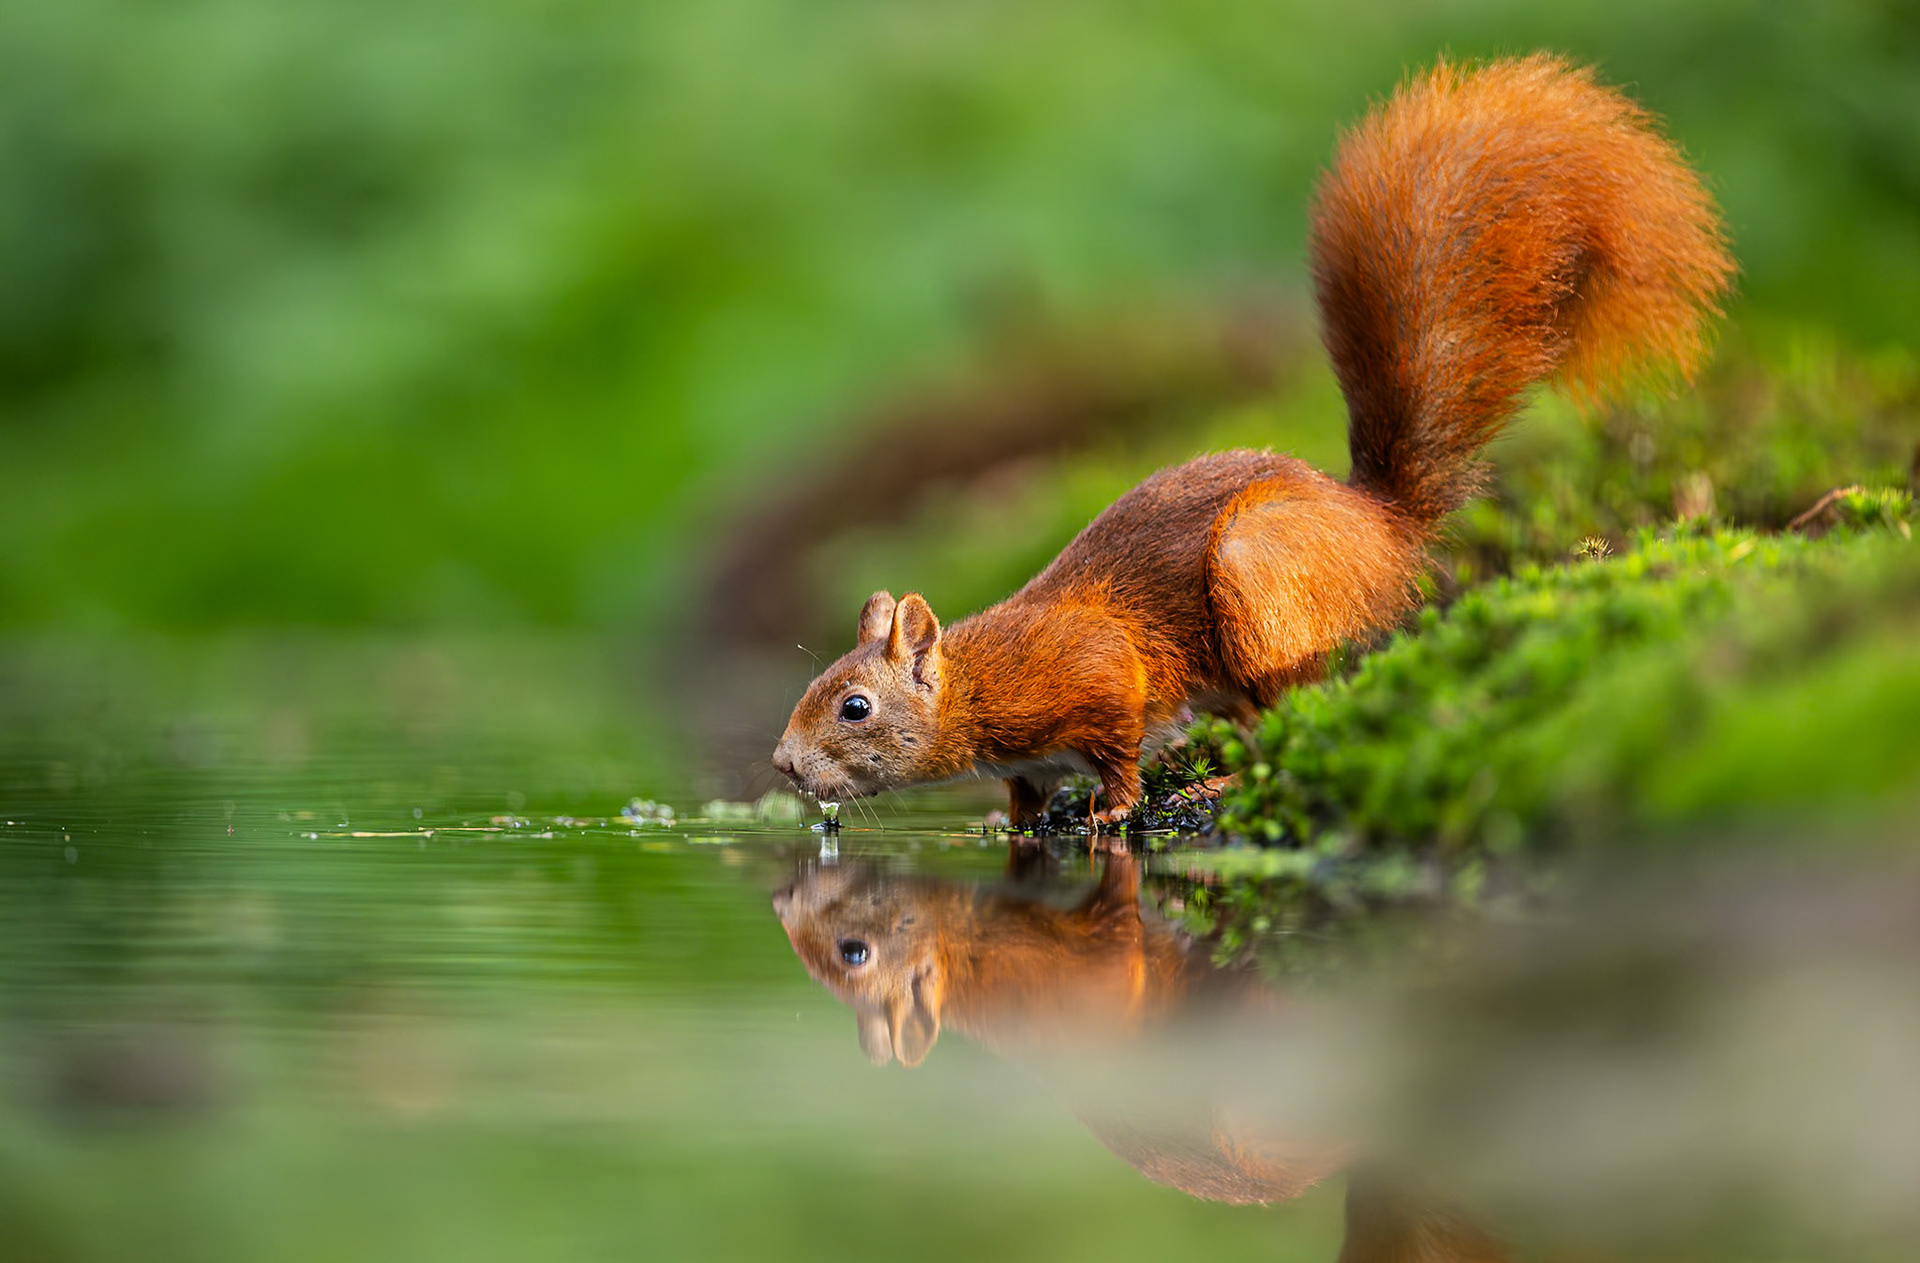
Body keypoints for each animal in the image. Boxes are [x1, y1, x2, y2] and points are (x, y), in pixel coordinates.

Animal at [771, 54, 1734, 826]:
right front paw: (1007, 827)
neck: (979, 682)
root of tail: (1381, 525)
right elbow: (1023, 791)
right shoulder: (1028, 759)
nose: (781, 764)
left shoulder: (1095, 675)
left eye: (854, 706)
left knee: (1290, 719)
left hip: (1256, 582)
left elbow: (1118, 747)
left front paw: (1110, 811)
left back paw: (1217, 786)